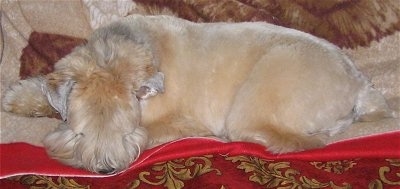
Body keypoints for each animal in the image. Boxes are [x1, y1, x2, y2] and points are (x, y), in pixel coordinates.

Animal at [1, 15, 392, 174]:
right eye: (81, 133)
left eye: (125, 133)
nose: (105, 169)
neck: (118, 54)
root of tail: (359, 84)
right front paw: (18, 97)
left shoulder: (176, 121)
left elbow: (151, 132)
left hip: (261, 94)